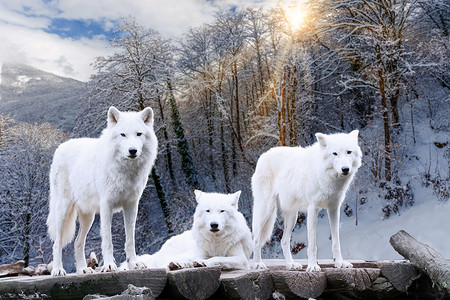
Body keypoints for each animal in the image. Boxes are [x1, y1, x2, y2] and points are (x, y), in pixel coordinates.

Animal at [46, 106, 157, 276]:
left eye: (139, 134)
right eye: (123, 134)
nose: (132, 150)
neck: (126, 171)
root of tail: (61, 146)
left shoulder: (132, 205)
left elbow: (130, 239)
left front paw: (134, 264)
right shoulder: (107, 204)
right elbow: (107, 239)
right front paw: (109, 265)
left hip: (88, 217)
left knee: (77, 243)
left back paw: (83, 270)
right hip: (63, 212)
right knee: (57, 243)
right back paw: (58, 270)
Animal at [253, 130, 362, 270]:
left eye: (349, 152)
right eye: (335, 153)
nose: (345, 169)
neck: (326, 176)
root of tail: (263, 155)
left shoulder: (334, 209)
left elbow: (336, 241)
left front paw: (339, 263)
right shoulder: (313, 209)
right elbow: (312, 245)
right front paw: (313, 266)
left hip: (292, 217)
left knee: (283, 241)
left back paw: (291, 264)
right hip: (266, 211)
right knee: (256, 240)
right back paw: (258, 264)